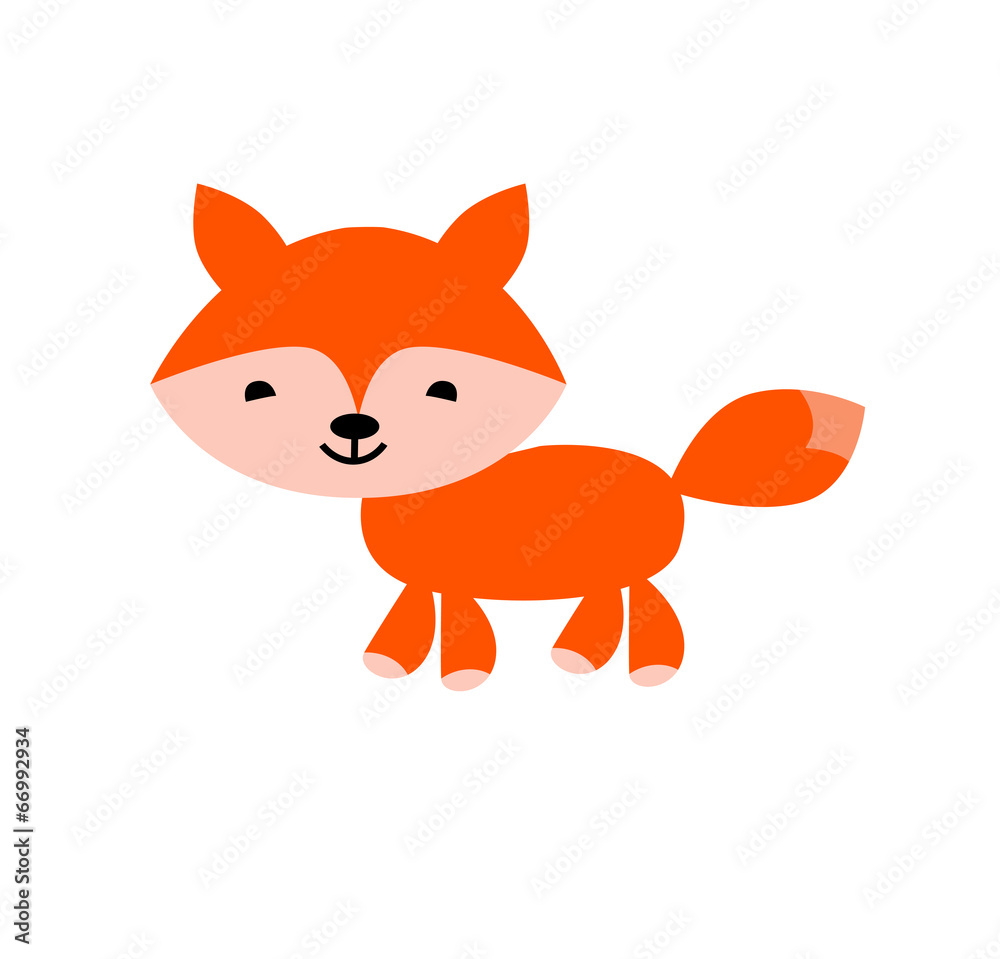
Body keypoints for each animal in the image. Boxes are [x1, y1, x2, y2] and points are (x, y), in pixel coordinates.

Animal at [152, 184, 863, 690]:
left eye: (444, 390)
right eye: (259, 390)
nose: (355, 429)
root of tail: (672, 477)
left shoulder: (457, 579)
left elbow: (463, 631)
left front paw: (462, 675)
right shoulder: (429, 580)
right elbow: (412, 617)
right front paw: (391, 663)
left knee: (648, 601)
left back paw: (645, 667)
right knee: (610, 601)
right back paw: (578, 657)